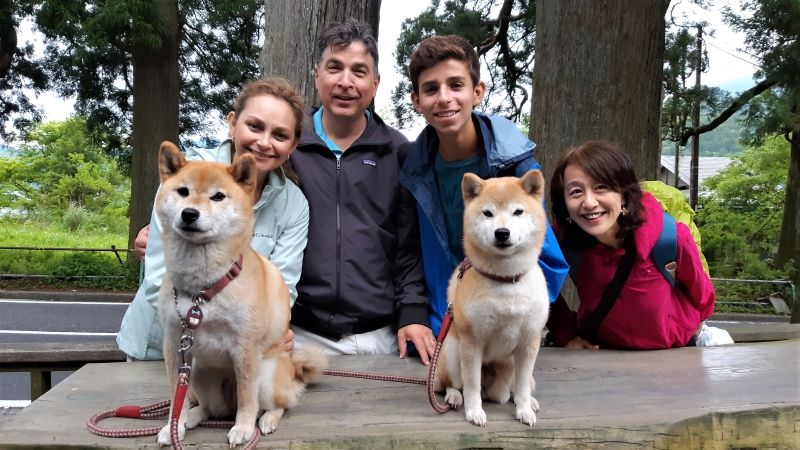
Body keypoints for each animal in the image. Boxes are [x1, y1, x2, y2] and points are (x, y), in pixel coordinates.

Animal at [155, 142, 324, 444]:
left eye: (218, 196)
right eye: (183, 191)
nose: (189, 213)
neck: (201, 290)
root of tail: (292, 370)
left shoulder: (245, 348)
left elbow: (247, 398)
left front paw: (243, 428)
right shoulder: (175, 343)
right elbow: (177, 396)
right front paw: (173, 426)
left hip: (266, 377)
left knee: (279, 404)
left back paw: (266, 420)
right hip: (200, 375)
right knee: (209, 408)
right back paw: (192, 418)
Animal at [432, 171, 552, 428]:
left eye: (518, 211)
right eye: (488, 213)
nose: (502, 232)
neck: (506, 281)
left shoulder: (529, 343)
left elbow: (523, 386)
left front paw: (525, 410)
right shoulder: (471, 343)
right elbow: (472, 386)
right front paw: (474, 412)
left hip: (511, 366)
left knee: (518, 387)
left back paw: (527, 401)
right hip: (453, 352)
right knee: (452, 384)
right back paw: (454, 397)